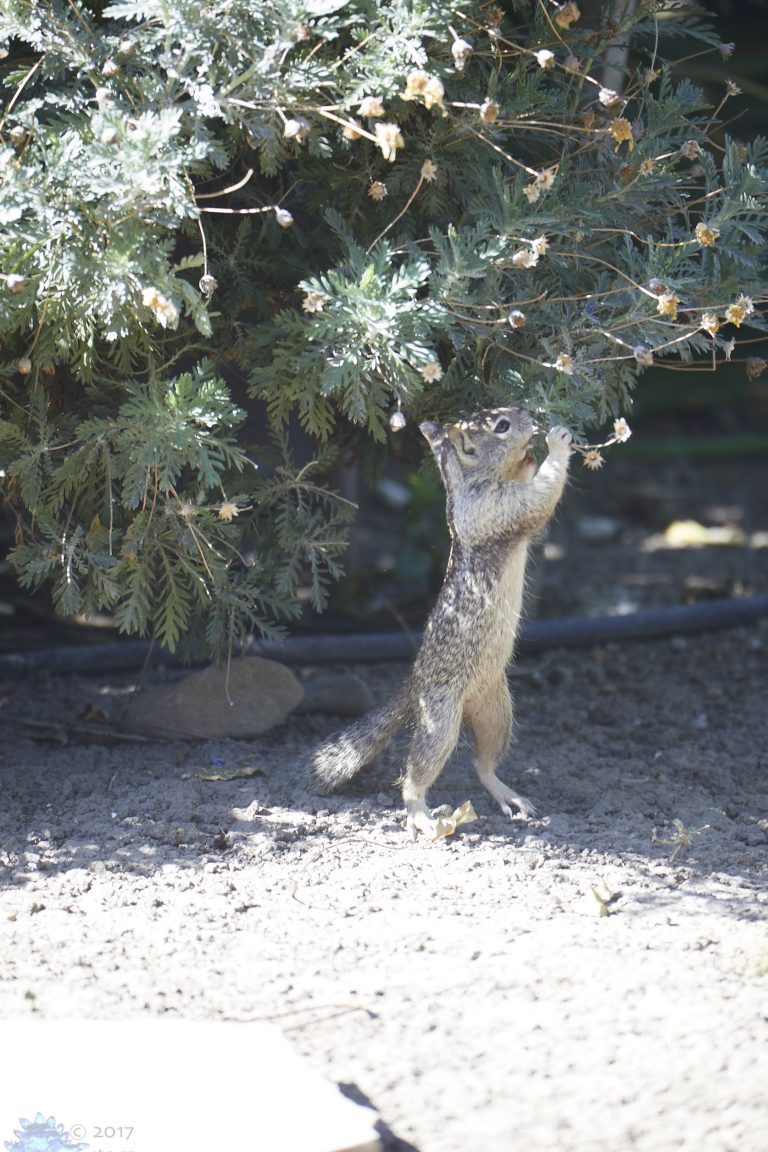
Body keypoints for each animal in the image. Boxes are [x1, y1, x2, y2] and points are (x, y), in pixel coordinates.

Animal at [307, 407, 572, 837]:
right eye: (500, 426)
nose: (531, 418)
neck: (471, 480)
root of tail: (416, 681)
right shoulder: (498, 507)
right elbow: (540, 498)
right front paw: (557, 444)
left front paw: (531, 457)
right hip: (441, 722)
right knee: (415, 776)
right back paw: (420, 815)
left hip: (497, 710)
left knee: (482, 763)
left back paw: (506, 793)